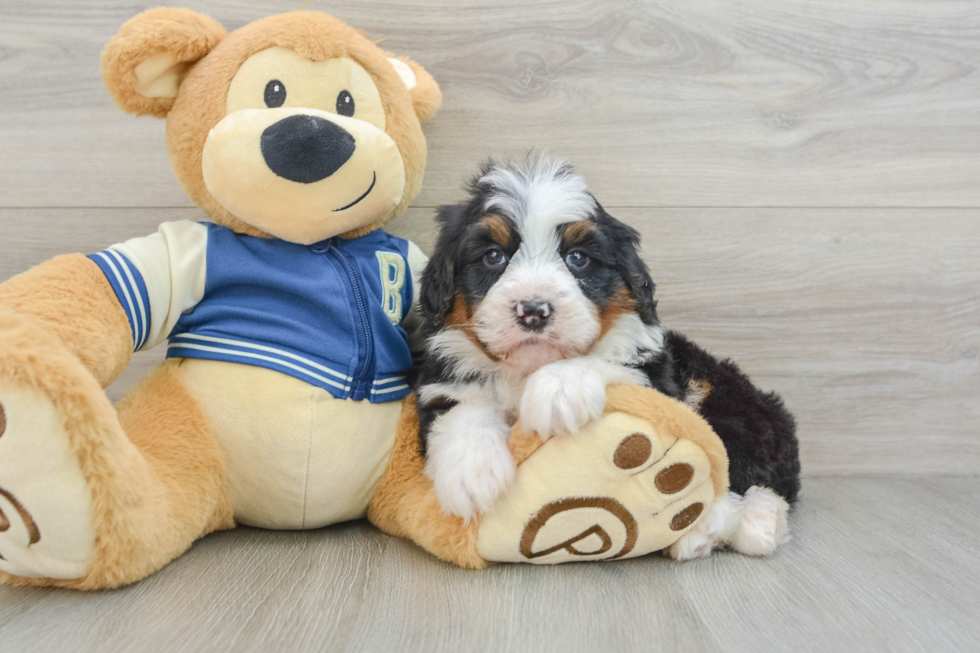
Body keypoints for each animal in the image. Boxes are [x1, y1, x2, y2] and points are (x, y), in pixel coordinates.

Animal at [418, 155, 800, 556]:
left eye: (577, 258)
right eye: (494, 256)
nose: (534, 310)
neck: (526, 370)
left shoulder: (655, 378)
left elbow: (608, 360)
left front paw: (558, 389)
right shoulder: (442, 383)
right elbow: (460, 409)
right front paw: (471, 473)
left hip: (724, 400)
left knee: (743, 474)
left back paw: (728, 527)